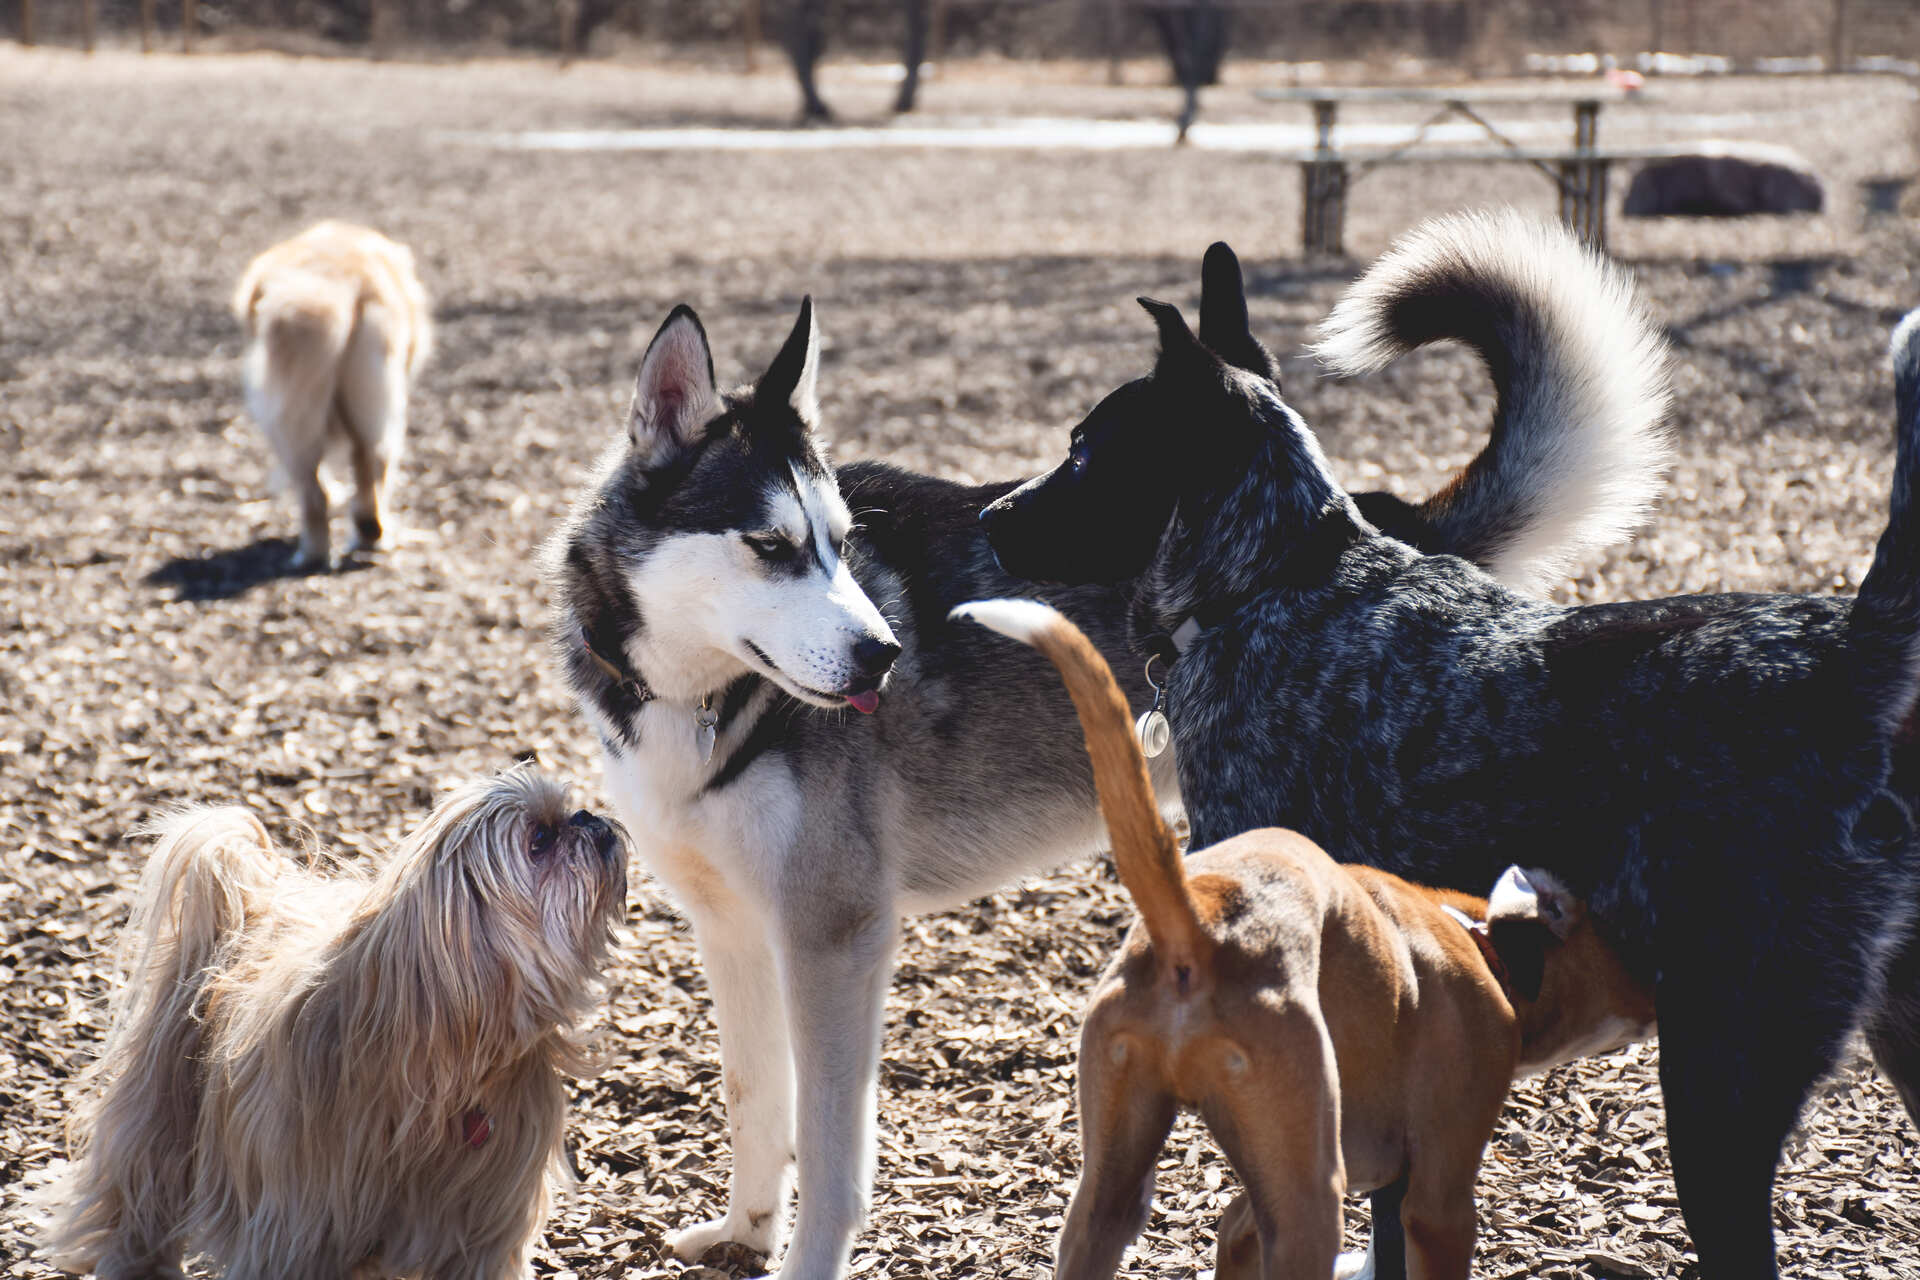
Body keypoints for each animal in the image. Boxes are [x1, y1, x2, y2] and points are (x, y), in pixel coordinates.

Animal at [46, 771, 622, 1280]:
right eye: (539, 840)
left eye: (566, 815)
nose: (587, 817)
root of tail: (248, 902)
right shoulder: (300, 1222)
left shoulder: (481, 1226)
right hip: (163, 1113)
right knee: (137, 1200)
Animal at [232, 221, 432, 571]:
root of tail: (344, 286)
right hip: (374, 407)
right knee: (365, 468)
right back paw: (364, 535)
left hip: (290, 418)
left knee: (319, 491)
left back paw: (319, 551)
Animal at [960, 598, 1651, 1280]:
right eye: (1619, 937)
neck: (1482, 942)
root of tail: (1200, 920)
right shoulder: (1438, 1201)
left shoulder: (1256, 1201)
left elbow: (1233, 1234)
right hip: (1310, 1197)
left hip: (1113, 1187)